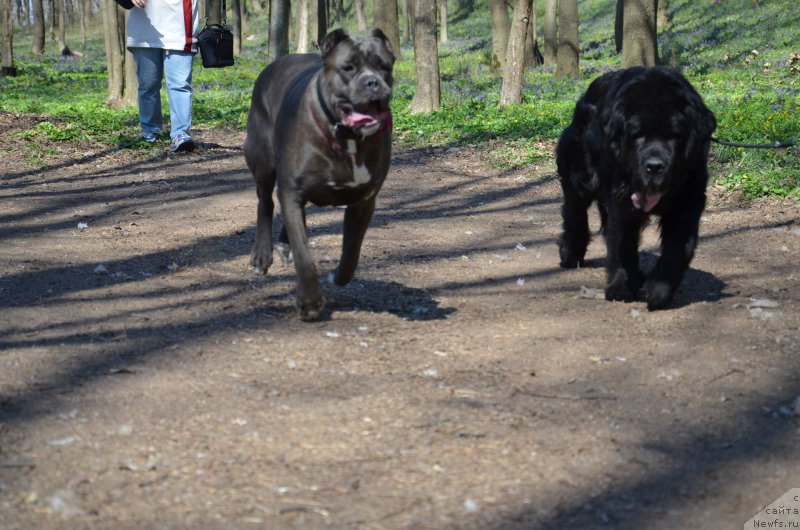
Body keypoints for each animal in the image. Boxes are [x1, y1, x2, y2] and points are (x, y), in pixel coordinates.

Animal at [244, 28, 394, 320]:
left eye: (385, 67)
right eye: (348, 68)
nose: (373, 83)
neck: (346, 137)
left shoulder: (363, 202)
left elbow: (351, 253)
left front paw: (337, 276)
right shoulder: (292, 190)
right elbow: (305, 257)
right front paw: (309, 303)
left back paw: (283, 245)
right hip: (262, 160)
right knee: (265, 203)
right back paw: (262, 255)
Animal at [556, 66, 720, 308]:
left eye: (674, 136)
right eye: (637, 135)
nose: (654, 166)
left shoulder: (689, 200)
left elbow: (677, 247)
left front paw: (659, 290)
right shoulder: (621, 200)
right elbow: (622, 243)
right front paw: (621, 286)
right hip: (578, 176)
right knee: (574, 213)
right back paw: (571, 254)